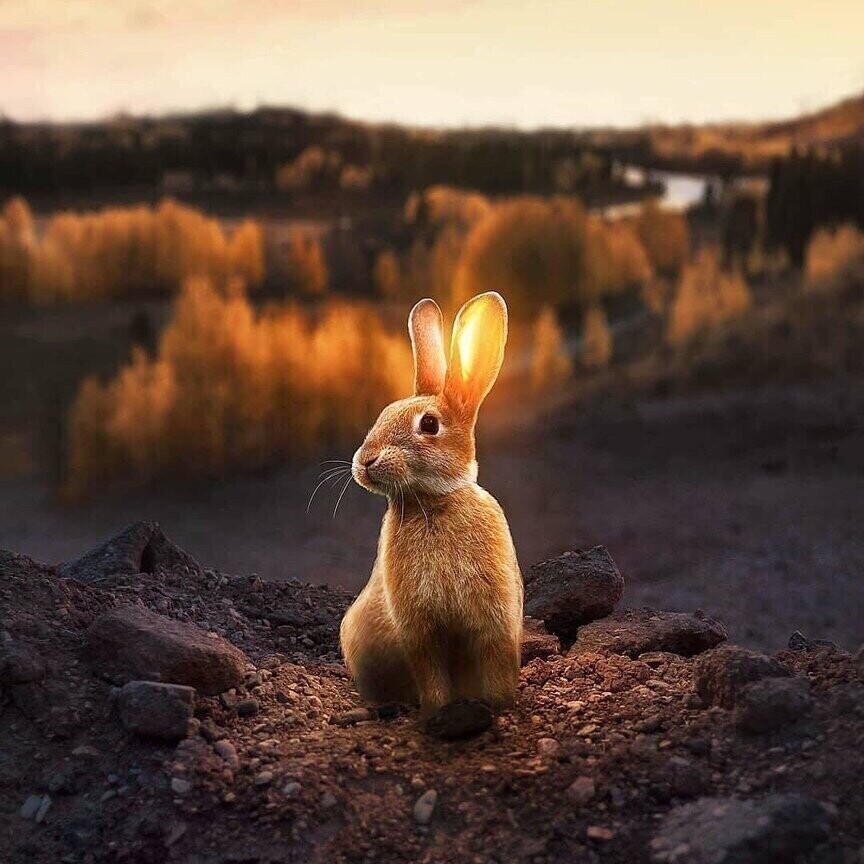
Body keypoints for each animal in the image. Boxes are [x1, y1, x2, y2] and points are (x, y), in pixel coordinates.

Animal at [339, 291, 523, 725]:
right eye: (383, 414)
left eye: (428, 425)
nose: (365, 461)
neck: (433, 502)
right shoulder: (419, 630)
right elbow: (430, 669)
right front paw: (438, 711)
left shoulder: (493, 620)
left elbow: (495, 660)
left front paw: (500, 705)